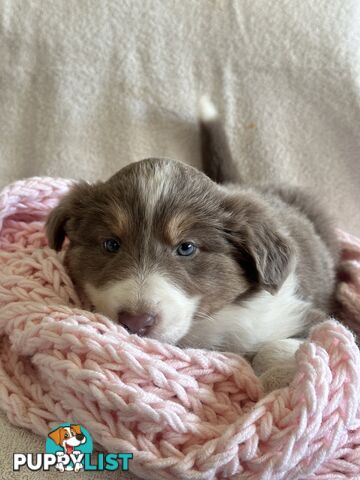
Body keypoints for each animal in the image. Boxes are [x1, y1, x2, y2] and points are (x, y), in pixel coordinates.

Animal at [46, 99, 338, 384]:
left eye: (186, 248)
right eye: (111, 244)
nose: (137, 321)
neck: (205, 324)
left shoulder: (302, 315)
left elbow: (277, 347)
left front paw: (277, 377)